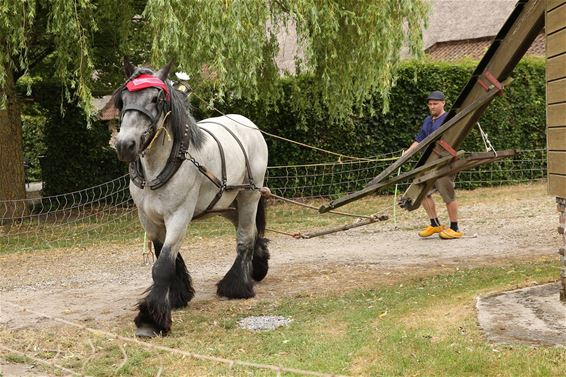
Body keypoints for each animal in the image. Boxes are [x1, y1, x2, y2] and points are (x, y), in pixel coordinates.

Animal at [115, 60, 270, 336]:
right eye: (123, 99)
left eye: (156, 99)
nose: (125, 145)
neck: (162, 164)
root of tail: (247, 123)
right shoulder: (149, 220)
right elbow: (167, 258)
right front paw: (177, 296)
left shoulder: (179, 215)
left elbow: (162, 265)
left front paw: (151, 319)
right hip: (227, 204)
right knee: (251, 231)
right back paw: (257, 267)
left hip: (249, 195)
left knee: (245, 238)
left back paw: (236, 286)